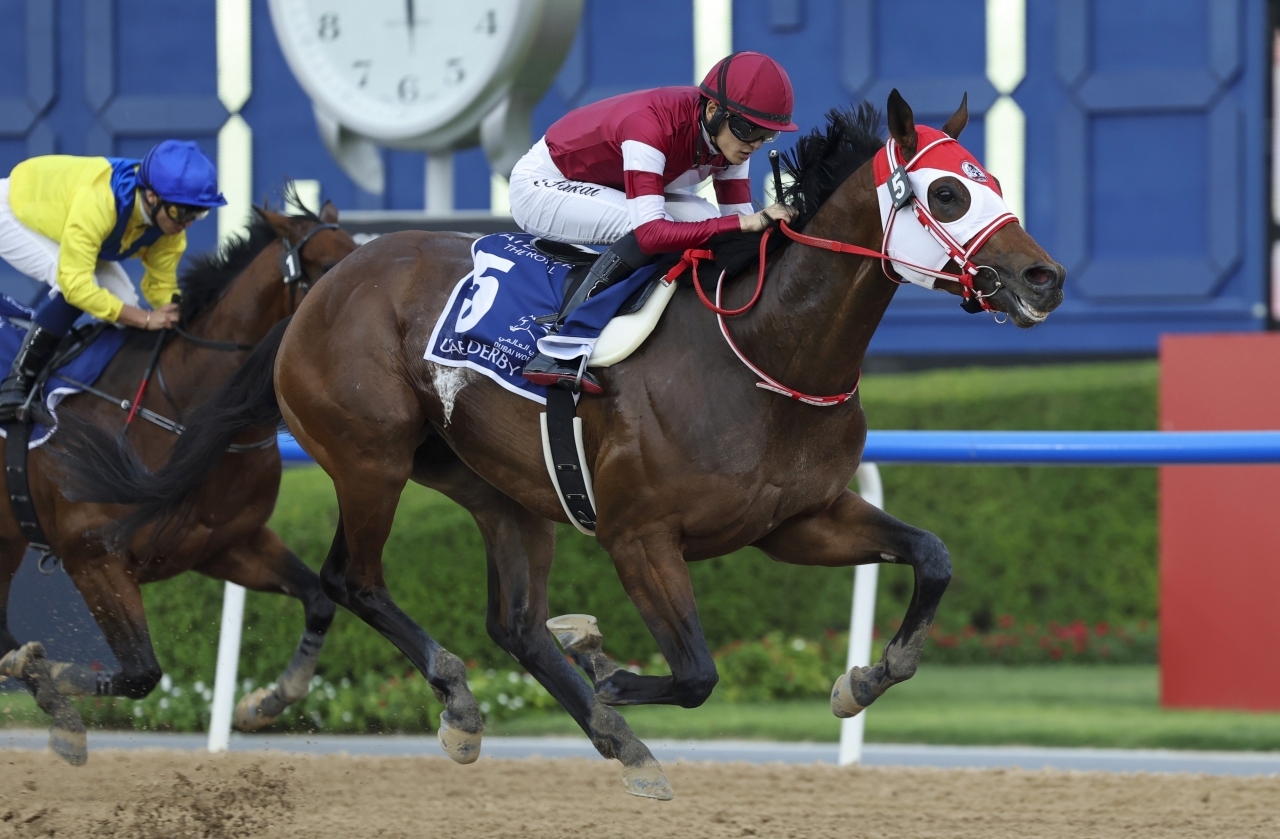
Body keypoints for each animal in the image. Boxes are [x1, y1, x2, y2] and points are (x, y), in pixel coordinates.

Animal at [3, 202, 360, 763]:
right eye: (325, 267)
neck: (187, 413)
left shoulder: (227, 544)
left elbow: (319, 600)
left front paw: (264, 702)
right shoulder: (93, 556)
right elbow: (141, 672)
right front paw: (49, 675)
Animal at [62, 93, 1059, 799]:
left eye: (998, 186)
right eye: (946, 191)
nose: (1042, 276)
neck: (766, 350)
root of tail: (331, 280)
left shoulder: (799, 518)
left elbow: (932, 555)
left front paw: (866, 676)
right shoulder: (640, 535)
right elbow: (696, 672)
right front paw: (609, 665)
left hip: (492, 484)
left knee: (509, 620)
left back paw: (592, 729)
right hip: (370, 456)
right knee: (355, 578)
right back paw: (462, 699)